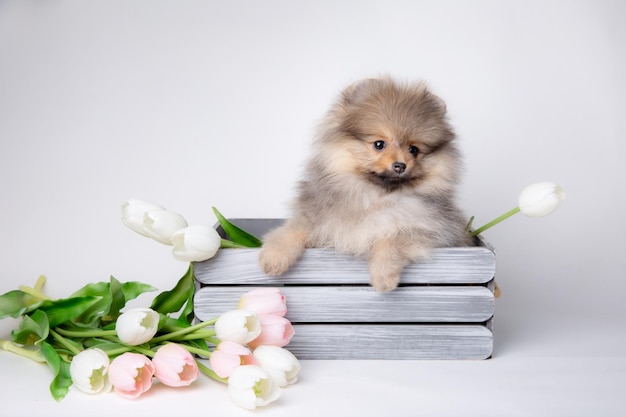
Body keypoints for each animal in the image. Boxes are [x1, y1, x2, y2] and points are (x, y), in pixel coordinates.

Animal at [258, 78, 468, 292]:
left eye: (414, 149)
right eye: (379, 144)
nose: (400, 165)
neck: (375, 196)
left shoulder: (433, 231)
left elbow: (393, 238)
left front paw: (383, 277)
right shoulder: (318, 217)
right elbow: (295, 229)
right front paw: (274, 257)